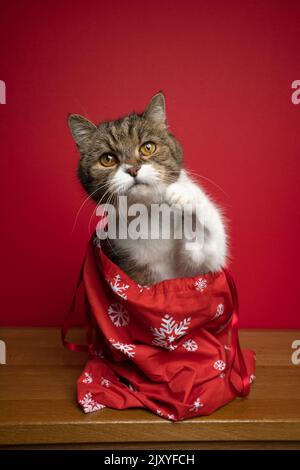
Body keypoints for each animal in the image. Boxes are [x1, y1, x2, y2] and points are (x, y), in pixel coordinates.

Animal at [68, 91, 227, 282]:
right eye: (107, 159)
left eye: (148, 147)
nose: (132, 169)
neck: (149, 215)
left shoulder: (198, 268)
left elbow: (208, 247)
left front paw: (182, 192)